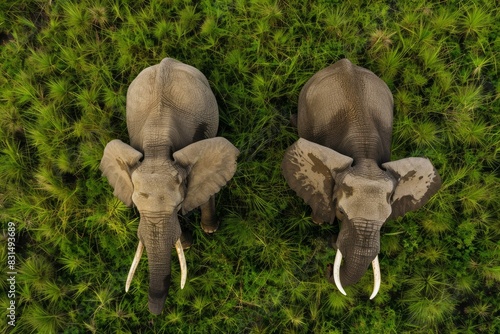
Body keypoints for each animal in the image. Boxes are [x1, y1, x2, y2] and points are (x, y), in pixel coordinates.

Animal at [99, 56, 238, 314]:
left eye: (178, 205)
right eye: (136, 208)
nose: (155, 313)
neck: (157, 147)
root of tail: (166, 60)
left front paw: (209, 232)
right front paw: (188, 244)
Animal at [282, 58, 442, 300]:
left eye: (385, 221)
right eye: (340, 212)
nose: (327, 265)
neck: (365, 158)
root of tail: (344, 62)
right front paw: (319, 223)